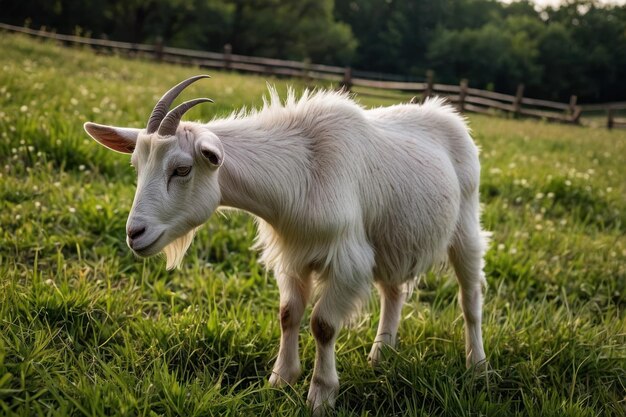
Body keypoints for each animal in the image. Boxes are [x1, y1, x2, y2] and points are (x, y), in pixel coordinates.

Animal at [85, 75, 490, 412]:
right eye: (137, 166)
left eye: (182, 169)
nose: (134, 233)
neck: (305, 168)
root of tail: (450, 116)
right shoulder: (292, 255)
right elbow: (288, 314)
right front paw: (281, 380)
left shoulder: (347, 259)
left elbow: (323, 325)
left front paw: (320, 395)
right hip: (394, 240)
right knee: (394, 292)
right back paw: (381, 356)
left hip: (466, 227)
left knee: (469, 298)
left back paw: (478, 366)